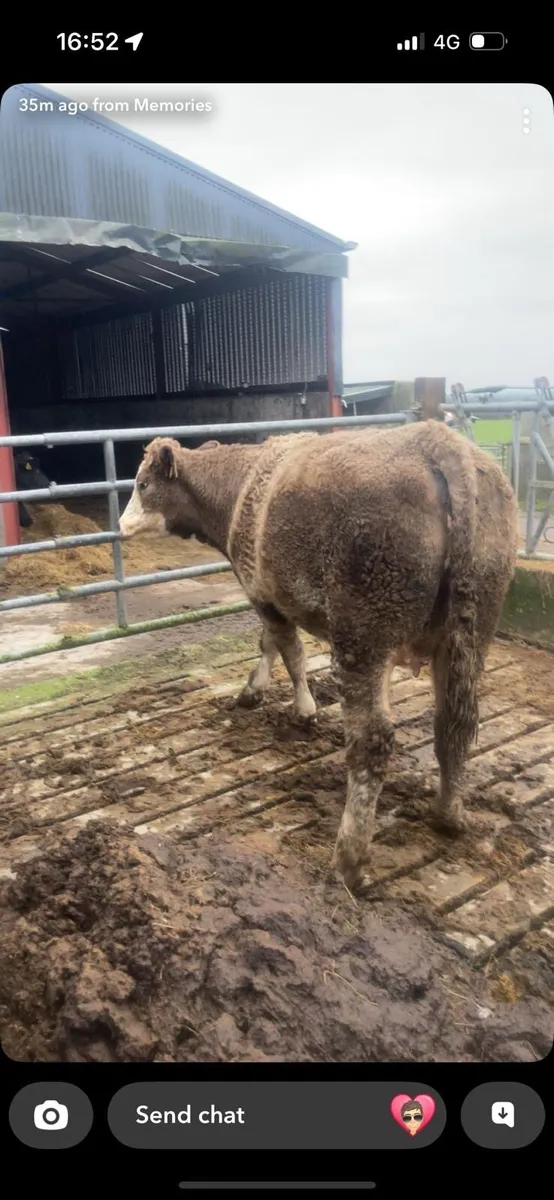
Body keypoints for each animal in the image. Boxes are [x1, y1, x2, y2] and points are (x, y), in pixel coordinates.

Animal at [118, 422, 518, 893]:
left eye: (143, 484)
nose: (121, 526)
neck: (242, 485)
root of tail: (439, 440)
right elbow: (270, 645)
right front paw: (253, 691)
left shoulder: (263, 592)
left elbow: (287, 650)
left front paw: (303, 709)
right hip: (470, 634)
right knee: (453, 724)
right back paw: (449, 815)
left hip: (364, 632)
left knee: (373, 741)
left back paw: (347, 860)